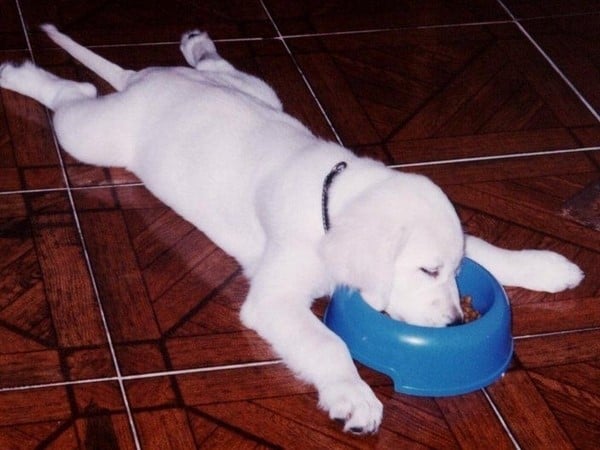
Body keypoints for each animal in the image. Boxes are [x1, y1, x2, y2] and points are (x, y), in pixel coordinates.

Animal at [0, 26, 580, 434]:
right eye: (426, 270)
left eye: (454, 271)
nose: (456, 324)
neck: (332, 199)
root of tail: (141, 79)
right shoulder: (273, 300)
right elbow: (328, 344)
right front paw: (354, 396)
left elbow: (484, 245)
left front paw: (546, 266)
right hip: (93, 137)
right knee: (70, 94)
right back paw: (20, 76)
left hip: (258, 89)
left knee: (212, 67)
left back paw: (197, 43)